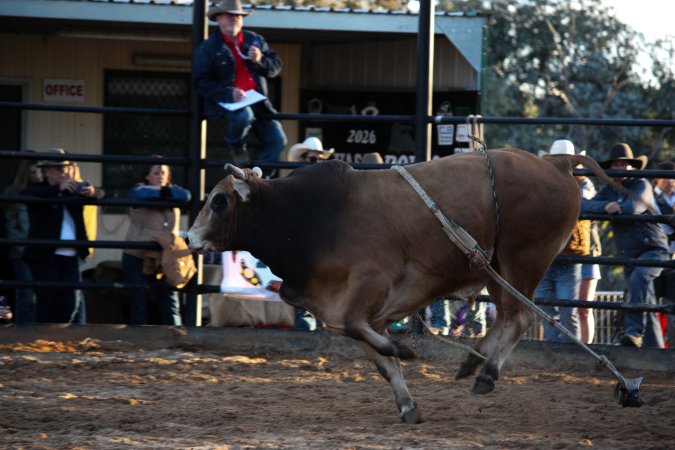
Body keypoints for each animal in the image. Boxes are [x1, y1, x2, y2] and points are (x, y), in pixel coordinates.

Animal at [188, 148, 620, 423]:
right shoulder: (344, 310)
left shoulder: (372, 285)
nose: (190, 239)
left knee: (520, 317)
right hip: (496, 266)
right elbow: (377, 356)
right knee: (508, 317)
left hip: (521, 260)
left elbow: (369, 336)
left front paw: (406, 349)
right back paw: (473, 362)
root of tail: (555, 162)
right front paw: (407, 404)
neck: (307, 216)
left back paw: (485, 372)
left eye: (219, 201)